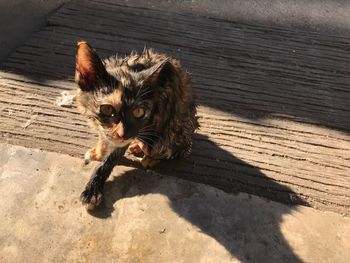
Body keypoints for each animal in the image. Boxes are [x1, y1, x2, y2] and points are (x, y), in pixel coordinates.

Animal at [75, 41, 198, 210]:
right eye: (107, 109)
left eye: (139, 112)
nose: (123, 133)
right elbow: (103, 139)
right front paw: (98, 152)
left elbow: (109, 160)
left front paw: (92, 190)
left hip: (171, 133)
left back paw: (149, 157)